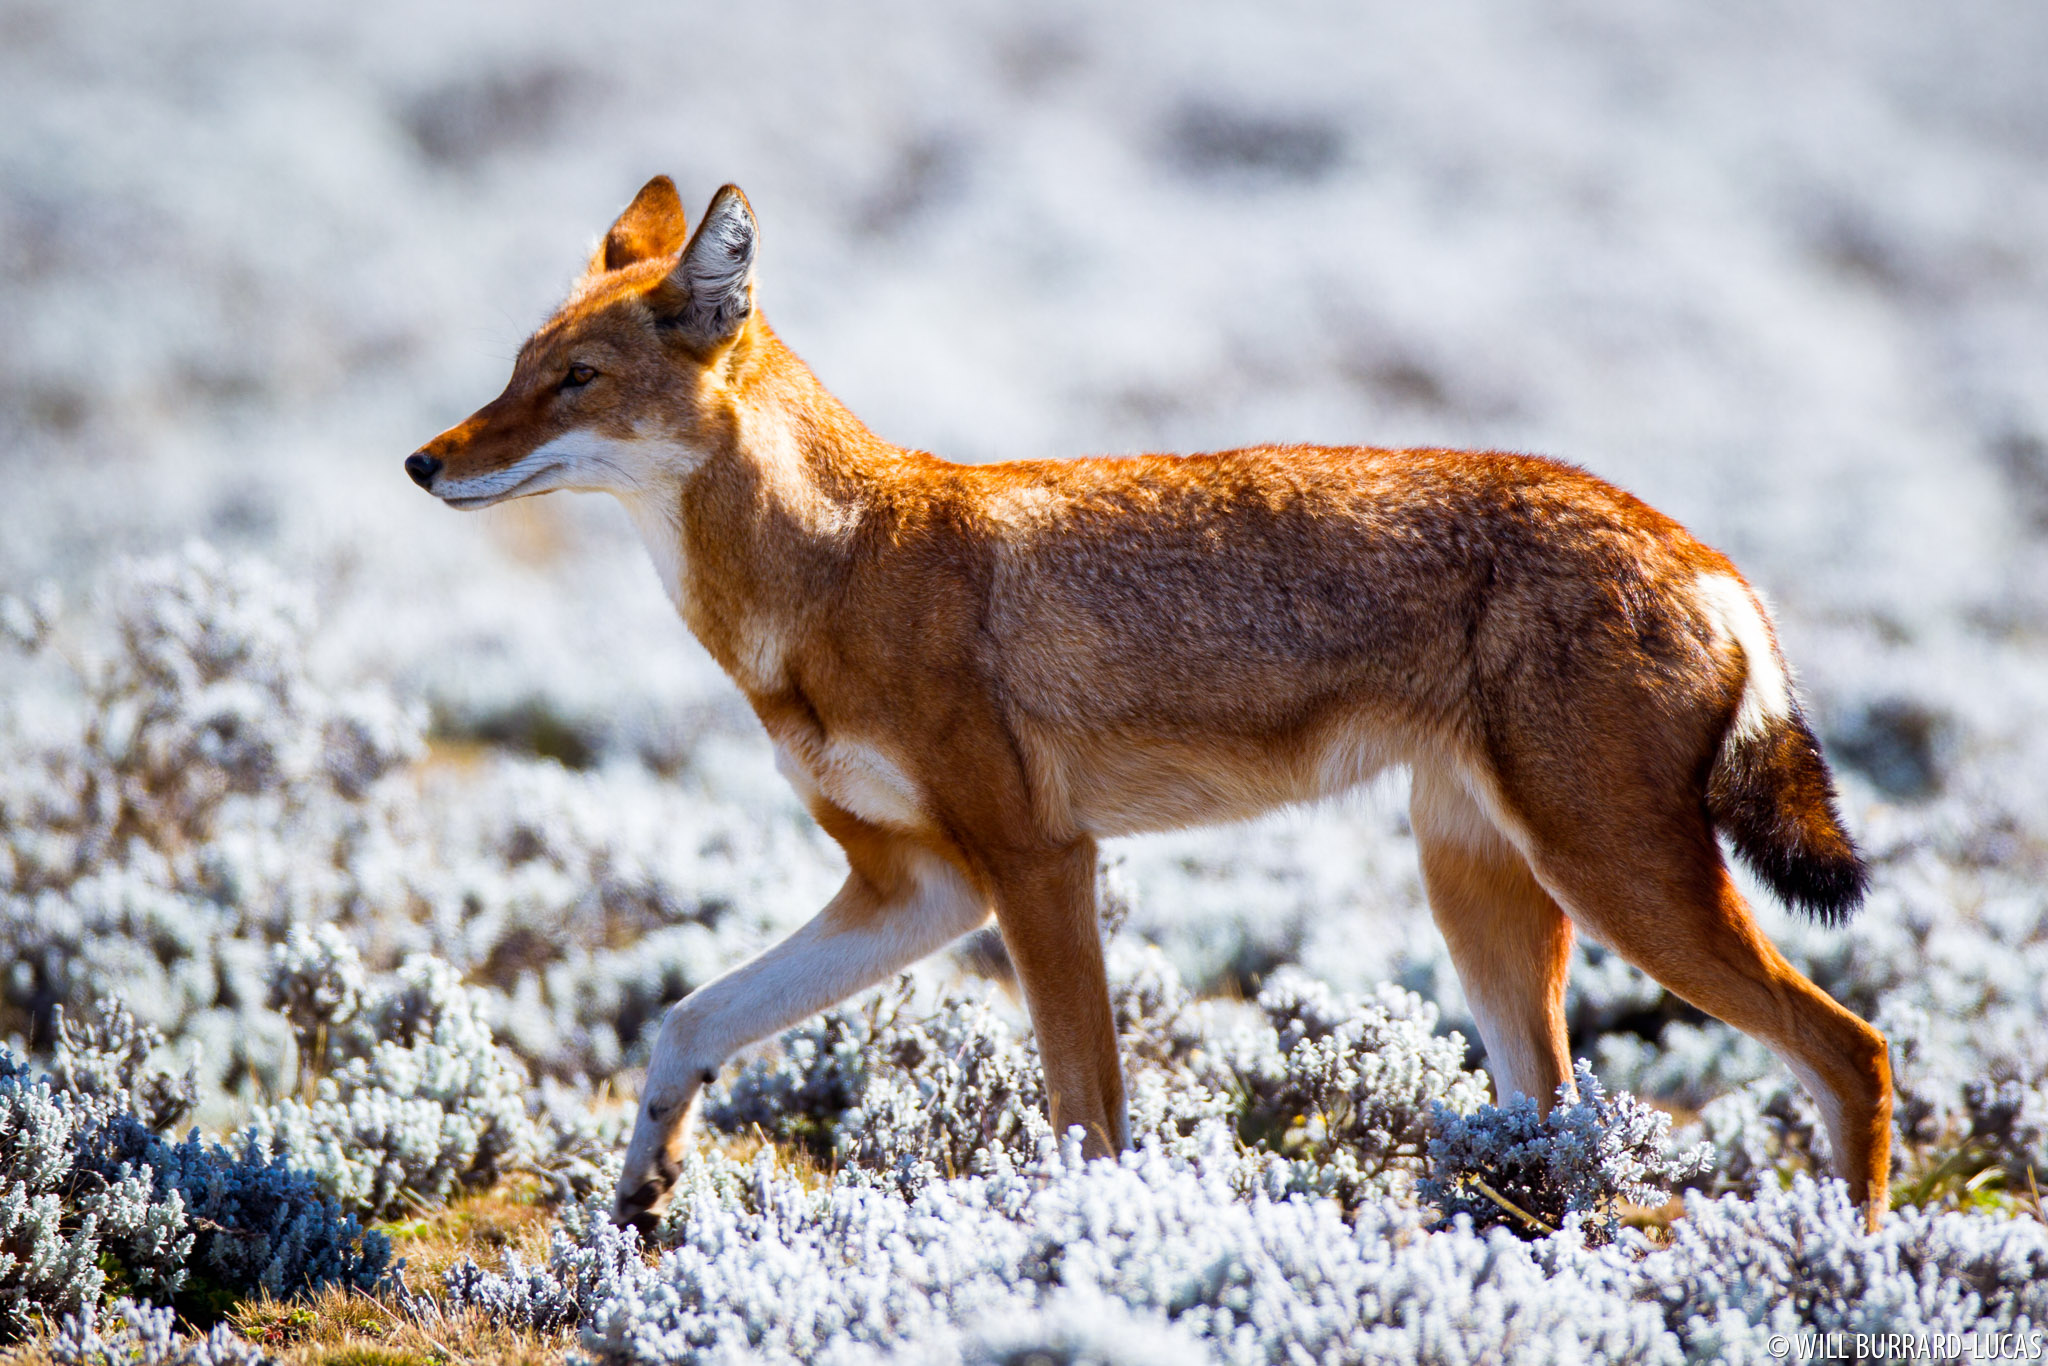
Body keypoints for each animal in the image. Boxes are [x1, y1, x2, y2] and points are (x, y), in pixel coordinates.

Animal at [407, 176, 1892, 1236]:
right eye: (514, 367)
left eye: (574, 382)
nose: (421, 462)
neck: (830, 564)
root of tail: (1705, 553)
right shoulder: (917, 888)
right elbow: (687, 1020)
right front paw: (641, 1181)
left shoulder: (1038, 865)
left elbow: (1086, 1120)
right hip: (1486, 900)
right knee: (1562, 1127)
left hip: (1621, 885)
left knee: (1854, 1052)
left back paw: (1846, 1266)